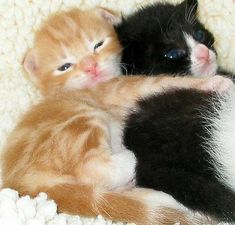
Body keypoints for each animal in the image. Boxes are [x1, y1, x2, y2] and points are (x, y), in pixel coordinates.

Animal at [2, 7, 232, 225]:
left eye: (98, 45)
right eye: (65, 67)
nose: (91, 67)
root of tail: (25, 184)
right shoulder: (119, 88)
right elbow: (163, 82)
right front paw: (218, 82)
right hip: (84, 117)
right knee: (92, 168)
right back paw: (130, 160)